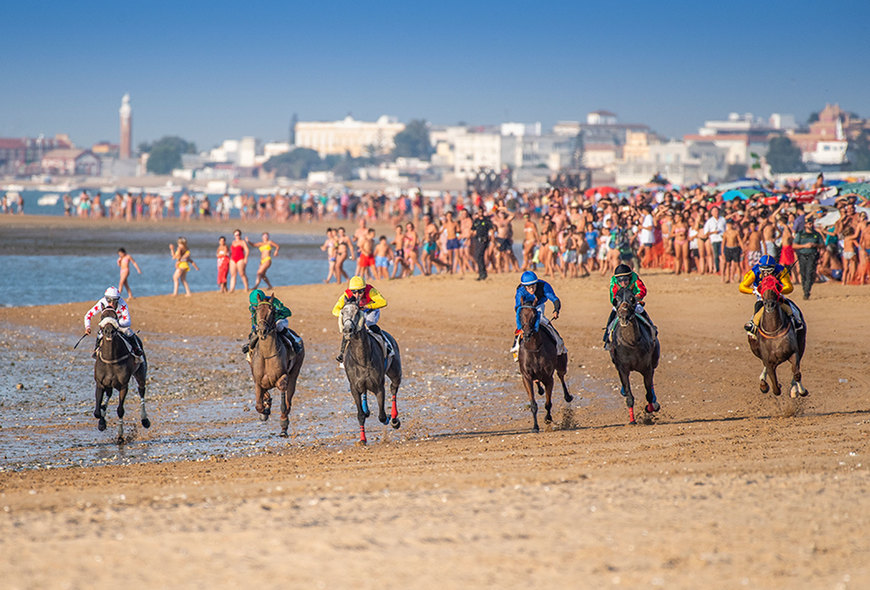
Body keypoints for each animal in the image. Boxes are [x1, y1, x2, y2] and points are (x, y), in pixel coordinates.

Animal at [93, 310, 150, 440]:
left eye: (115, 316)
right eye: (102, 316)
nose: (109, 331)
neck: (111, 360)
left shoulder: (124, 386)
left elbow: (120, 410)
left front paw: (120, 436)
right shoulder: (100, 383)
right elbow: (97, 411)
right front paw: (102, 423)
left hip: (140, 373)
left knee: (141, 391)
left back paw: (145, 420)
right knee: (108, 395)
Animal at [249, 296, 306, 440]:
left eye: (272, 311)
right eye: (257, 310)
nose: (262, 331)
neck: (267, 355)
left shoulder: (283, 376)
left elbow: (283, 400)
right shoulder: (257, 379)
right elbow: (259, 404)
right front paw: (265, 410)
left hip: (295, 373)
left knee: (288, 402)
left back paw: (284, 426)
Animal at [338, 300, 404, 444]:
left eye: (357, 311)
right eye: (342, 312)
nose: (347, 330)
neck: (362, 359)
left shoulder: (379, 386)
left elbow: (382, 415)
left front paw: (389, 418)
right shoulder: (354, 387)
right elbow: (360, 415)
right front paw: (362, 439)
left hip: (395, 372)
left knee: (394, 389)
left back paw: (394, 418)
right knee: (365, 395)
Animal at [608, 286, 664, 426]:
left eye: (632, 299)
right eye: (616, 299)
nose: (623, 316)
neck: (631, 344)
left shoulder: (647, 368)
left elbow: (649, 393)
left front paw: (650, 408)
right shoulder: (622, 369)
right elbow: (629, 395)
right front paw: (632, 420)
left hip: (654, 361)